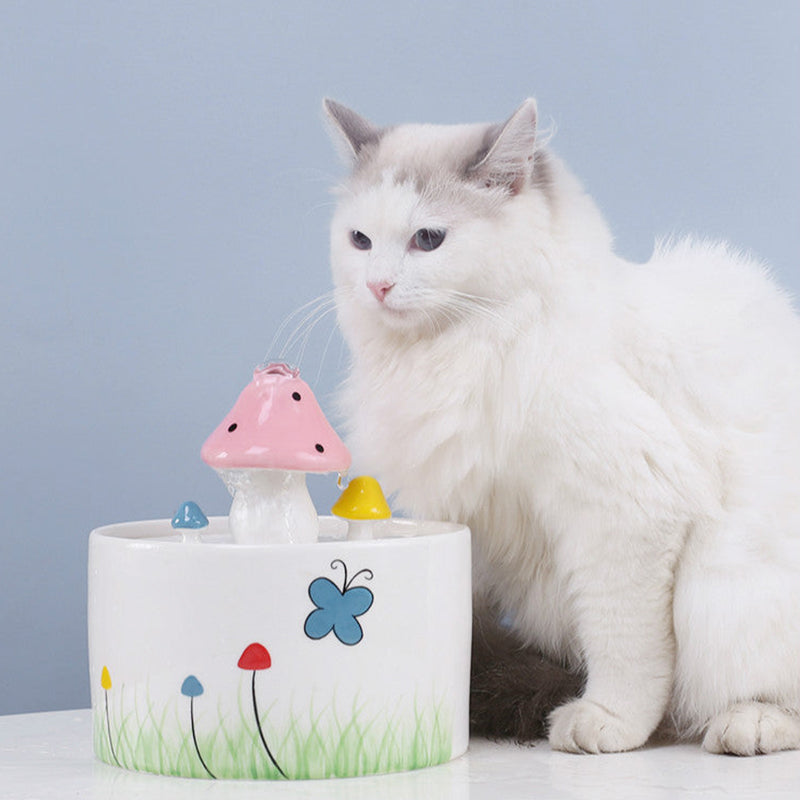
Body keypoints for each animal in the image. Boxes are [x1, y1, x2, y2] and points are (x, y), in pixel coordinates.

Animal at [324, 97, 800, 752]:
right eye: (360, 240)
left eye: (428, 239)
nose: (378, 285)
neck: (467, 344)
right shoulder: (466, 510)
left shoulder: (626, 507)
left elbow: (627, 645)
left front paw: (609, 722)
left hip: (730, 587)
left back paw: (750, 722)